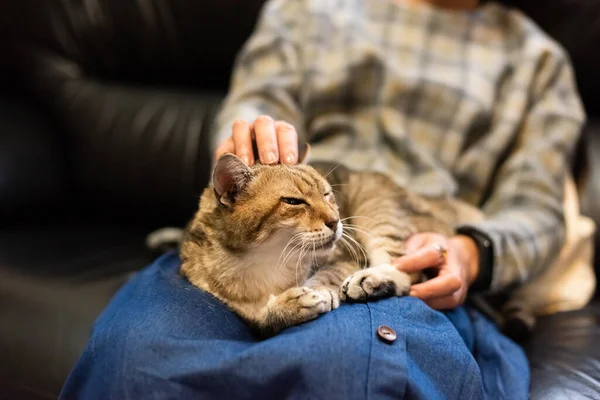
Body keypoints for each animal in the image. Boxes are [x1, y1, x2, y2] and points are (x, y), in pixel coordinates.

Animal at [170, 151, 478, 338]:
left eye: (328, 194)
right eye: (293, 201)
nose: (336, 220)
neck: (262, 257)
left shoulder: (344, 257)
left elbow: (327, 275)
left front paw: (316, 290)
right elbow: (263, 318)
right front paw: (287, 306)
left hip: (377, 209)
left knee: (406, 271)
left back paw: (370, 280)